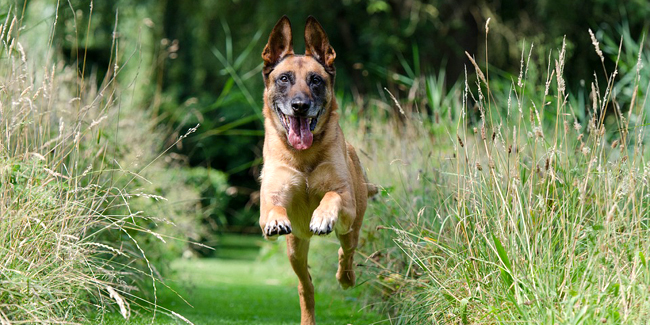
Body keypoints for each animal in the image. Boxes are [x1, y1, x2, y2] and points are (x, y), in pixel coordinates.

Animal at [258, 15, 374, 324]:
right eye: (284, 78)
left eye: (316, 80)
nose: (300, 106)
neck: (304, 156)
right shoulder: (270, 199)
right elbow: (273, 207)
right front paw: (277, 219)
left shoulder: (345, 201)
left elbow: (331, 196)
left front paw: (322, 217)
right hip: (295, 249)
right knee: (305, 286)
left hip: (351, 227)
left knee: (346, 253)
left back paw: (346, 277)